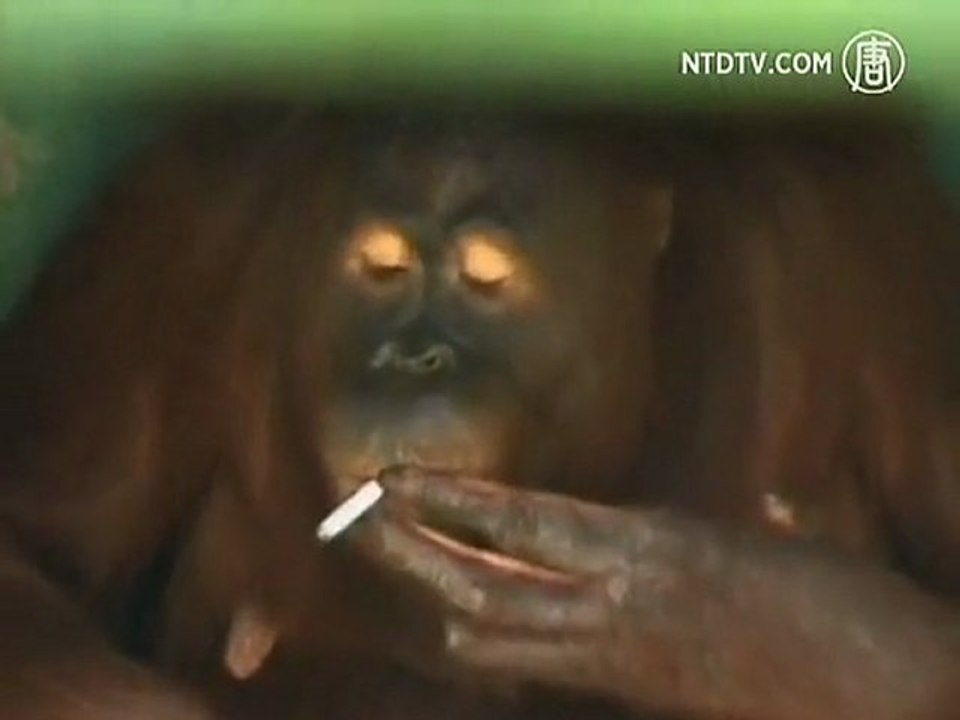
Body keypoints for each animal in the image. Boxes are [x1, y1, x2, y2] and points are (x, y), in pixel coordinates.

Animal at [0, 104, 958, 720]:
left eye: (488, 276)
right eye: (383, 265)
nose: (411, 359)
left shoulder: (860, 233)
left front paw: (706, 615)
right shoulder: (186, 225)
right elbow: (34, 557)